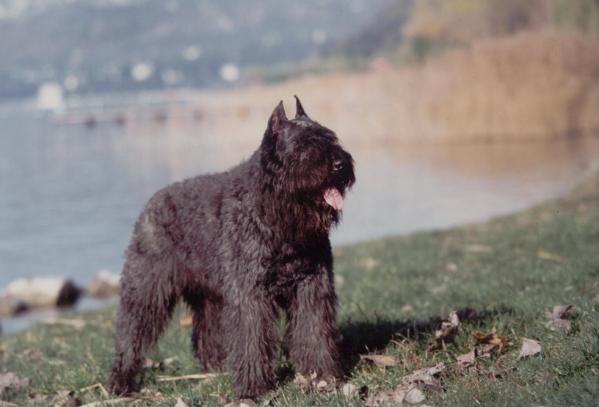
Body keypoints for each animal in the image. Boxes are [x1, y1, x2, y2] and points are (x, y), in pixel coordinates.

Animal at [109, 97, 356, 400]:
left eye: (331, 137)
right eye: (303, 146)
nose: (339, 164)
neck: (276, 214)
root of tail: (150, 205)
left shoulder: (311, 286)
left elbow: (314, 331)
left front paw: (321, 375)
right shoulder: (250, 294)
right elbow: (251, 339)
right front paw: (253, 387)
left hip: (211, 295)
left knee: (206, 332)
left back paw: (216, 365)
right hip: (146, 290)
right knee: (130, 333)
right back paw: (121, 381)